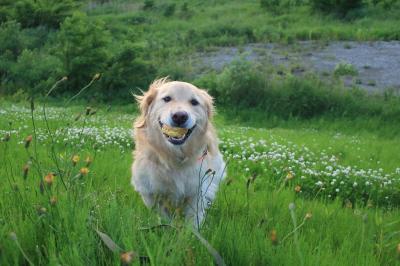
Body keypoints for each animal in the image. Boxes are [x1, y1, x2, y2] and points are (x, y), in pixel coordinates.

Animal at [131, 77, 225, 229]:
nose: (180, 116)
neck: (174, 158)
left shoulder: (197, 190)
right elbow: (162, 215)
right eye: (167, 98)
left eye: (194, 102)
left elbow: (193, 220)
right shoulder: (148, 191)